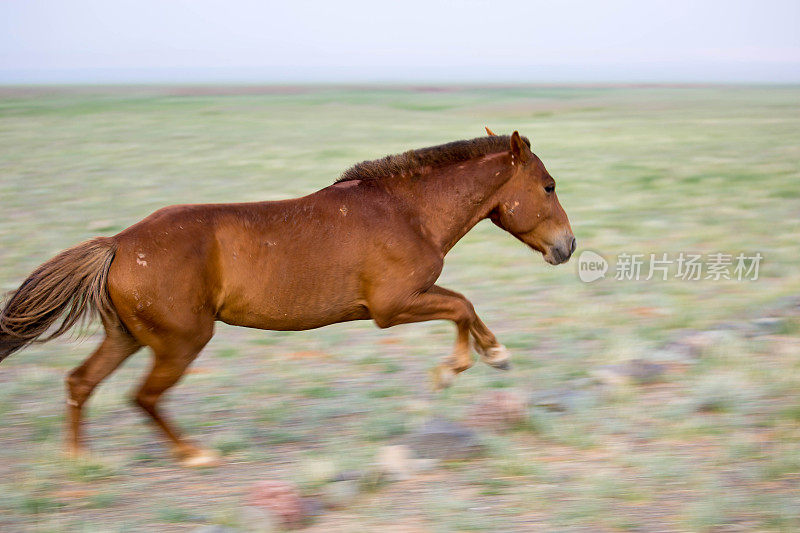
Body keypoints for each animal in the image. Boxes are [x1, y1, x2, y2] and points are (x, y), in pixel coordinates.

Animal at [1, 132, 576, 466]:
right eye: (548, 186)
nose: (567, 246)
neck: (407, 210)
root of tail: (118, 244)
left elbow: (463, 305)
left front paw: (480, 360)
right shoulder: (392, 307)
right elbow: (462, 304)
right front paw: (472, 363)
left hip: (127, 338)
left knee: (81, 383)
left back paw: (78, 464)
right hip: (180, 342)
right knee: (143, 397)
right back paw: (194, 454)